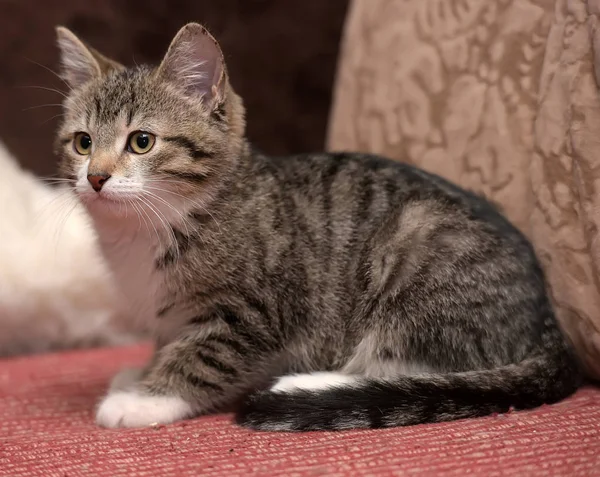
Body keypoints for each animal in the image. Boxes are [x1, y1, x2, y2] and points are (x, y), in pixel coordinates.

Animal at [55, 23, 580, 432]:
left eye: (142, 141)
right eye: (83, 143)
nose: (96, 177)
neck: (152, 228)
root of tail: (548, 318)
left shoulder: (255, 312)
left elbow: (204, 356)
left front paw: (147, 397)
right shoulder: (168, 314)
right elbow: (170, 341)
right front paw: (143, 371)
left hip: (421, 252)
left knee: (411, 363)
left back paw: (307, 384)